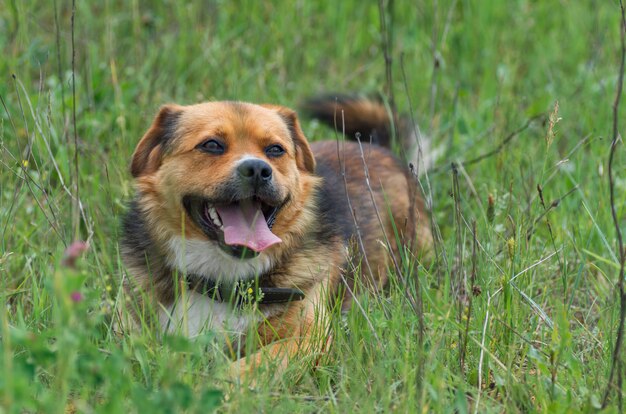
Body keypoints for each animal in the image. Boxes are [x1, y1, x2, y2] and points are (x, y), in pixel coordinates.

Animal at [120, 95, 434, 376]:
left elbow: (250, 366)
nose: (258, 169)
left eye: (274, 149)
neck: (225, 278)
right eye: (211, 145)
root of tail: (377, 148)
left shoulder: (310, 337)